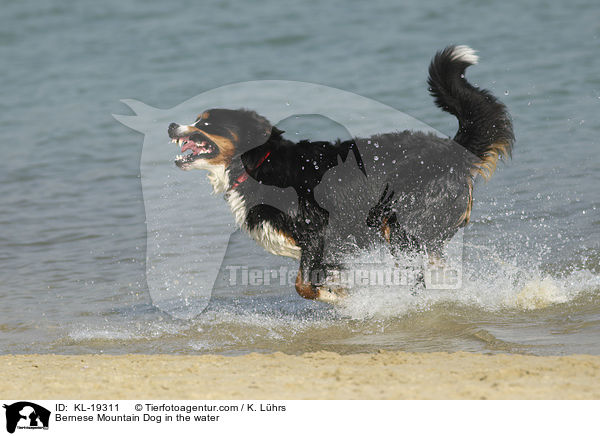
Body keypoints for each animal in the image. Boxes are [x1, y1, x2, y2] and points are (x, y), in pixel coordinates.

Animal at [166, 46, 512, 302]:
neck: (258, 166)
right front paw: (341, 291)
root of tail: (452, 150)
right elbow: (313, 279)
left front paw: (342, 298)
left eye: (205, 123)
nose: (171, 125)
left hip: (403, 227)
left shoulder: (318, 233)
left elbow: (304, 287)